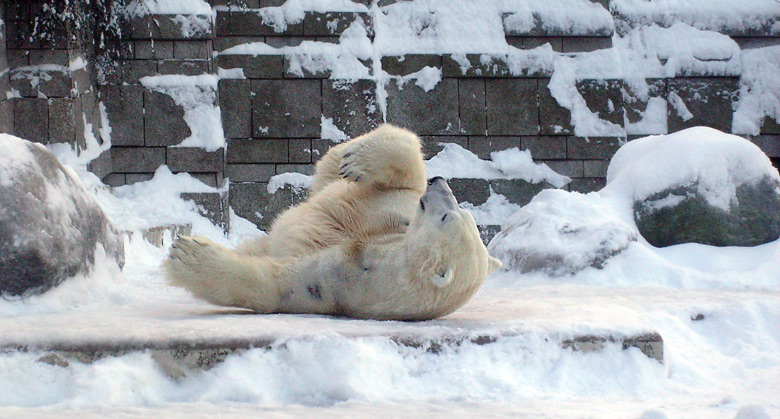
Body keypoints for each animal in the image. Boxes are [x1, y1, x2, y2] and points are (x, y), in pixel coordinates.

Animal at [163, 124, 500, 322]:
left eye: (446, 217)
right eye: (464, 214)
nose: (441, 182)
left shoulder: (337, 281)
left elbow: (276, 284)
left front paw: (188, 255)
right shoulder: (393, 214)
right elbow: (408, 173)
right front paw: (358, 160)